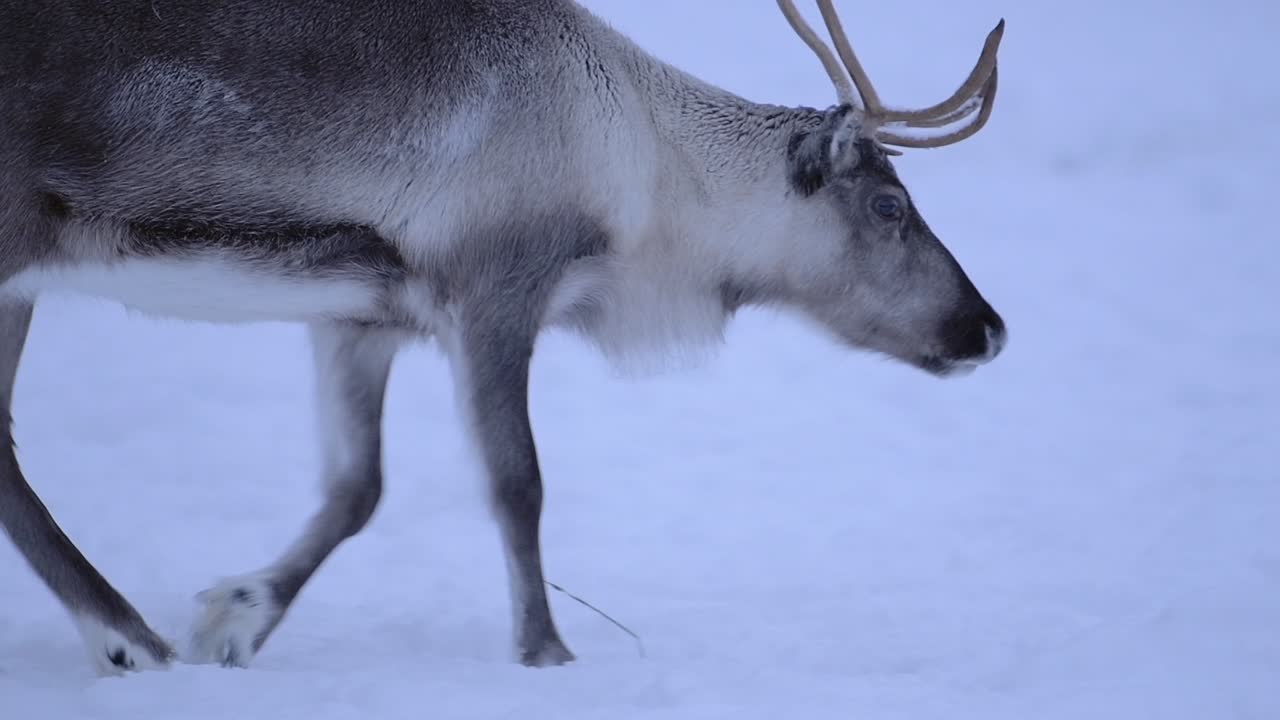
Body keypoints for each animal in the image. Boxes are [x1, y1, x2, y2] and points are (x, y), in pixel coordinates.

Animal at [0, 0, 1007, 675]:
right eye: (889, 206)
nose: (989, 328)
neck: (643, 169)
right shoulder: (494, 297)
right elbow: (518, 484)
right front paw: (547, 652)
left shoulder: (363, 316)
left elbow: (356, 489)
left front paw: (238, 616)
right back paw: (126, 638)